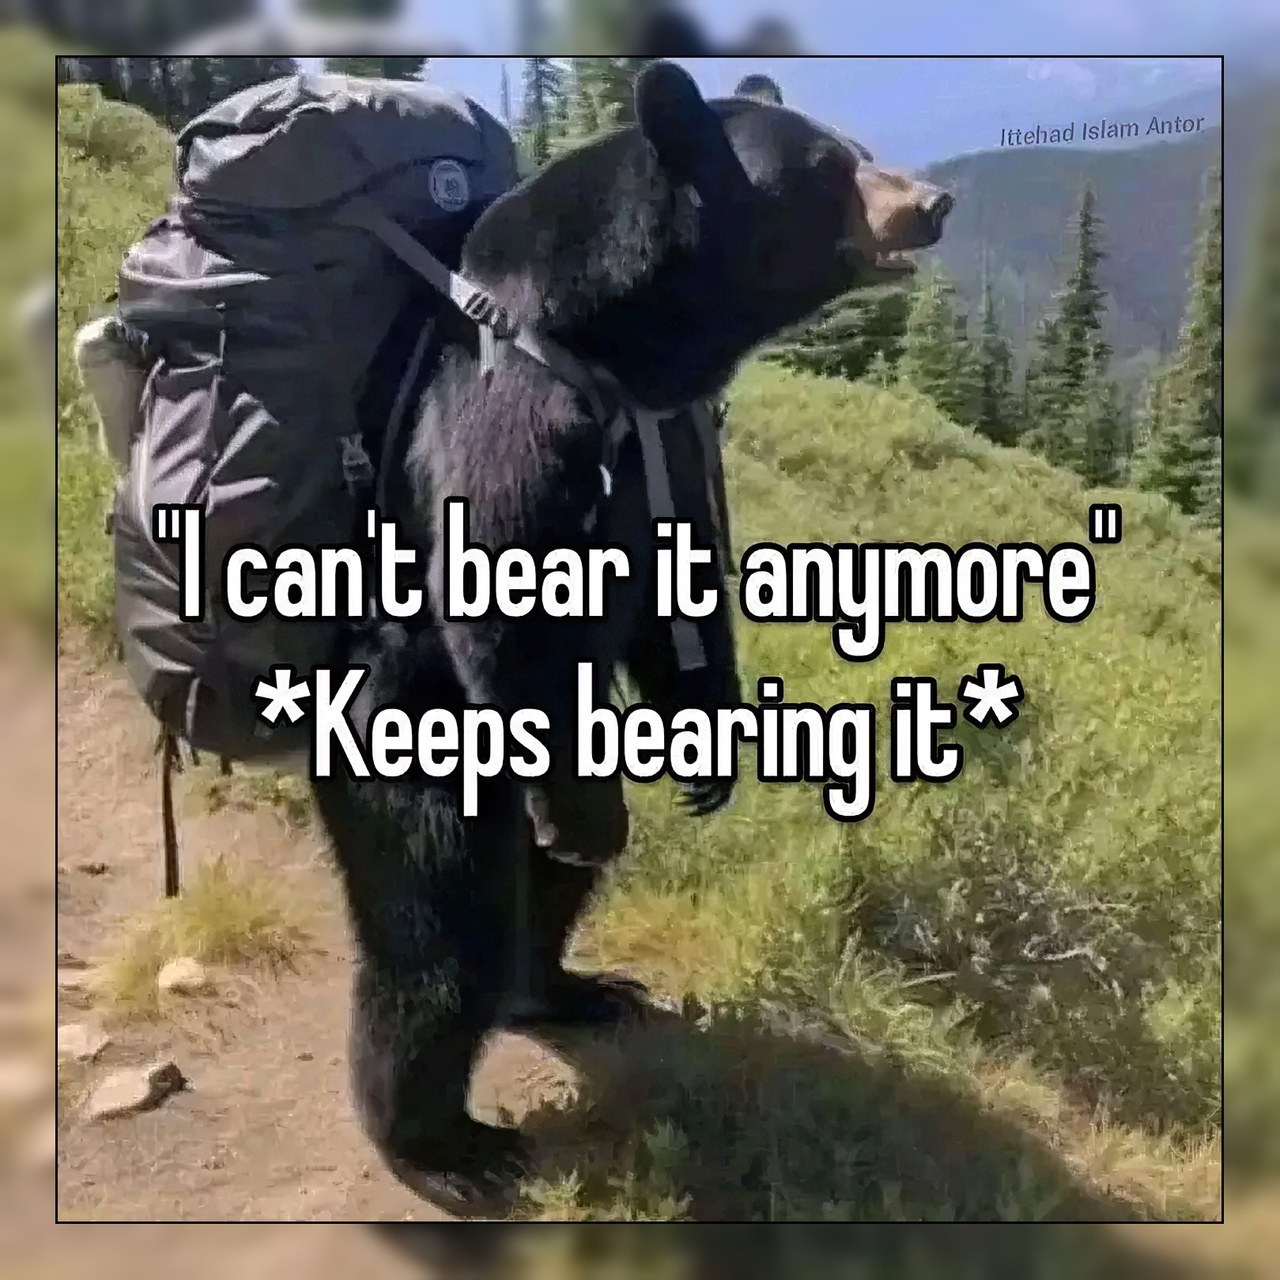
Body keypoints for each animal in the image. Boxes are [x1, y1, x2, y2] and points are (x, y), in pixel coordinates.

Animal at [310, 61, 954, 1217]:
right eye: (825, 165)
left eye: (857, 143)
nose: (930, 202)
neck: (618, 346)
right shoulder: (507, 403)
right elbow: (501, 580)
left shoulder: (674, 435)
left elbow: (680, 582)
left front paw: (710, 753)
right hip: (408, 741)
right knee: (438, 940)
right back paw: (442, 1146)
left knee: (550, 888)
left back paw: (569, 987)